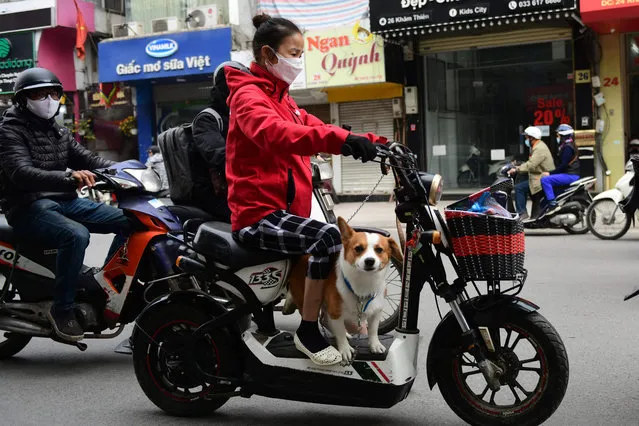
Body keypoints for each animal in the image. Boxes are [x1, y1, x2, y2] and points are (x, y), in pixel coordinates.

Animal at [288, 218, 400, 364]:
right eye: (358, 248)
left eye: (379, 250)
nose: (369, 261)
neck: (364, 283)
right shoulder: (335, 313)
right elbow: (340, 332)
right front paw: (345, 349)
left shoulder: (376, 312)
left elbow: (373, 330)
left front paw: (374, 344)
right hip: (307, 301)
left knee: (325, 320)